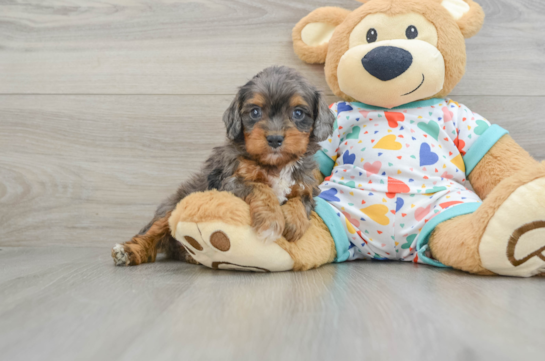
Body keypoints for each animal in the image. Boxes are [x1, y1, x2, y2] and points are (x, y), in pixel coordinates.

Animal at [112, 66, 336, 266]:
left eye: (298, 113)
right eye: (255, 112)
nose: (274, 139)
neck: (277, 165)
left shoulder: (306, 183)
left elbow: (302, 199)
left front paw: (294, 223)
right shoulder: (229, 181)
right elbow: (260, 188)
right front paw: (272, 221)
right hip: (174, 205)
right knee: (152, 234)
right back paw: (129, 251)